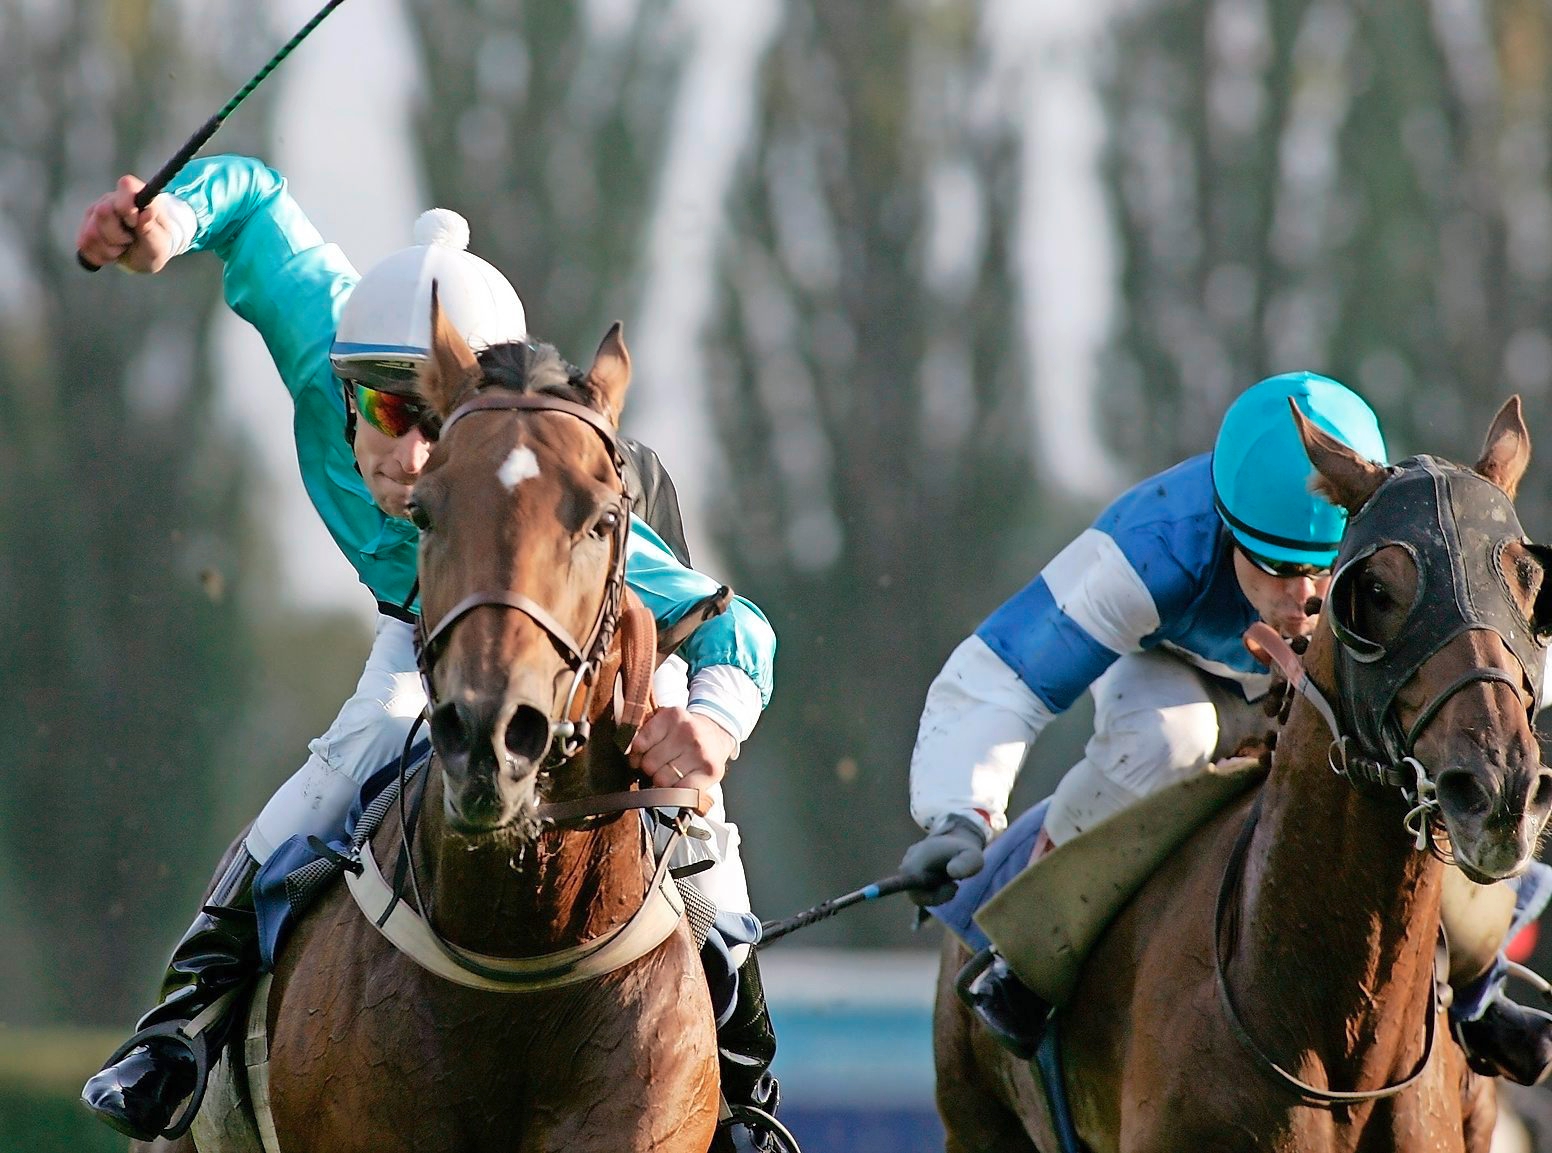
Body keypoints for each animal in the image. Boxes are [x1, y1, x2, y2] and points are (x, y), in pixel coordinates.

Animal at [931, 400, 1552, 1153]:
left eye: (1529, 583)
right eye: (1374, 590)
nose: (1498, 789)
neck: (1341, 1037)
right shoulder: (1139, 566)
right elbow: (1006, 668)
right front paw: (947, 835)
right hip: (976, 1122)